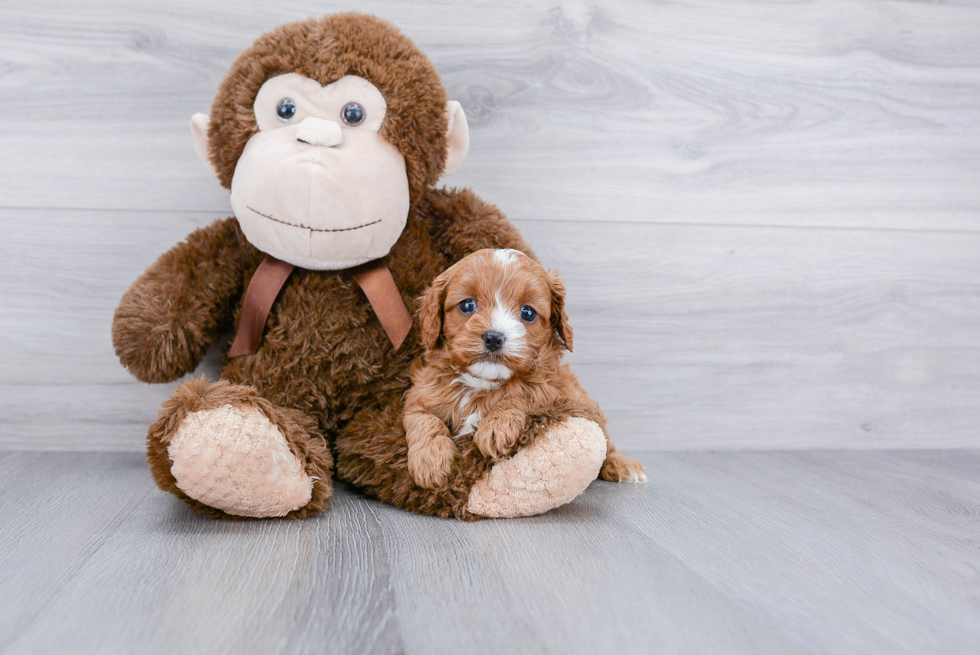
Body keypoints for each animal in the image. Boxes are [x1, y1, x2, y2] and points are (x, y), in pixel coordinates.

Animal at [402, 249, 648, 490]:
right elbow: (423, 420)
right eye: (467, 305)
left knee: (606, 441)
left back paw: (623, 464)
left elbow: (522, 395)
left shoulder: (552, 393)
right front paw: (431, 459)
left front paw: (496, 425)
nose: (493, 338)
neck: (482, 383)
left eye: (528, 313)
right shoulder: (421, 396)